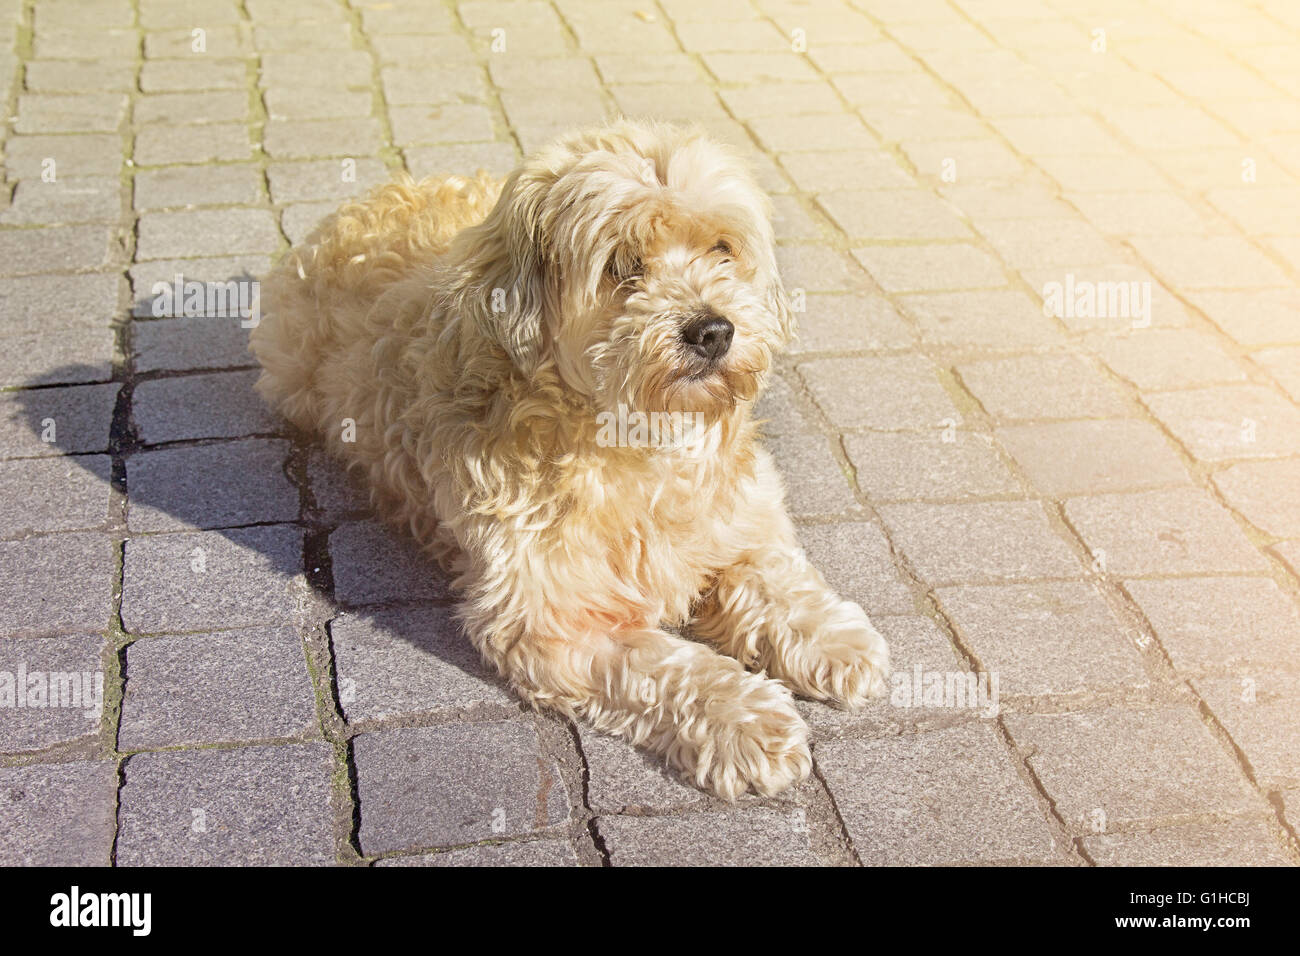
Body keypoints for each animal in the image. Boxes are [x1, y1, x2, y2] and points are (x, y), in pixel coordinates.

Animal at [248, 119, 889, 801]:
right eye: (622, 265)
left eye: (722, 247)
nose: (714, 331)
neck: (639, 443)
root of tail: (354, 205)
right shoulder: (549, 620)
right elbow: (664, 666)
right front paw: (744, 717)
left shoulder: (744, 515)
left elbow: (774, 577)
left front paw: (832, 638)